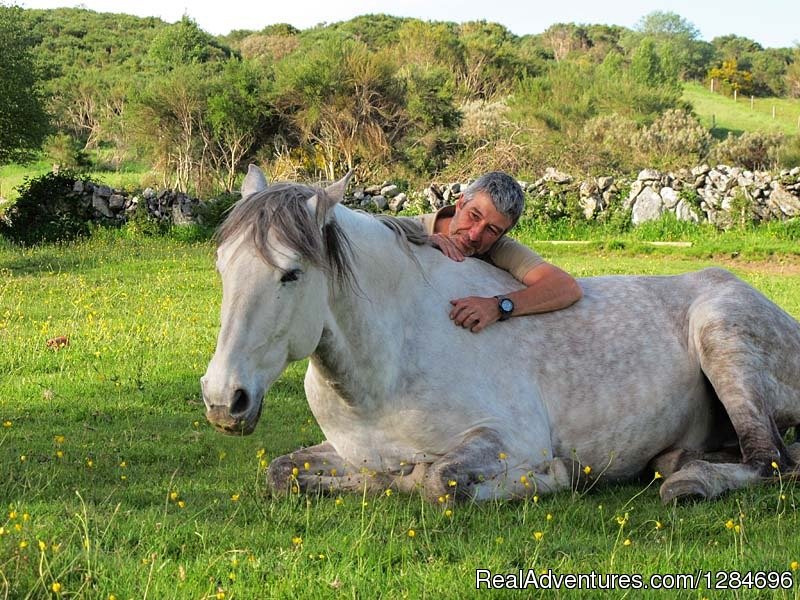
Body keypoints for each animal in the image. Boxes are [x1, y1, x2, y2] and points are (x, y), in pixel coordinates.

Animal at [202, 166, 800, 504]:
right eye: (221, 265)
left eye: (290, 274)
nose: (223, 400)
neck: (392, 361)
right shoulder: (350, 451)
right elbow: (283, 472)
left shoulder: (511, 439)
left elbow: (437, 480)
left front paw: (552, 478)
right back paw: (680, 464)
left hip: (722, 337)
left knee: (770, 463)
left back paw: (690, 483)